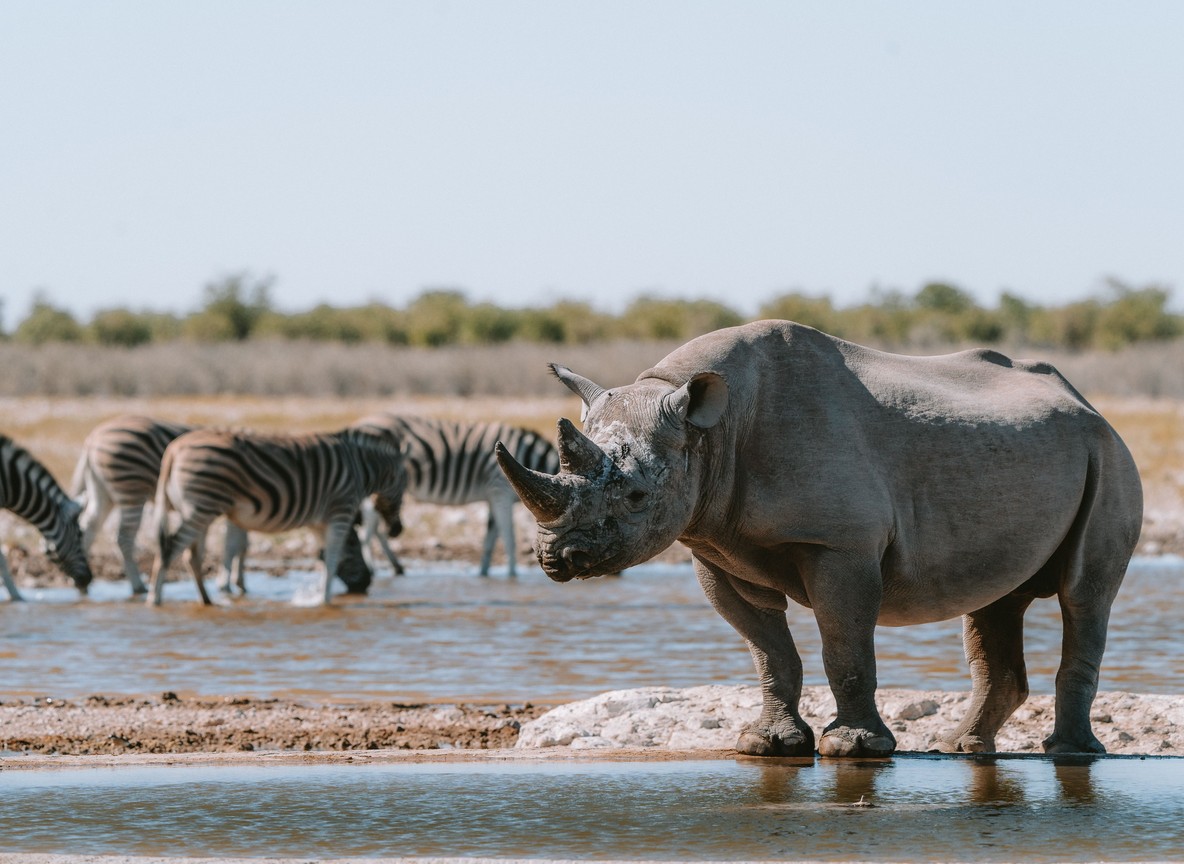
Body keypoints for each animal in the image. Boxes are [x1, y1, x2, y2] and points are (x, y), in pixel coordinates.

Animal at [149, 424, 407, 606]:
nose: (397, 530)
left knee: (192, 556)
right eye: (404, 487)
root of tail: (173, 450)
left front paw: (320, 596)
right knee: (169, 549)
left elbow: (325, 557)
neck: (360, 467)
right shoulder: (340, 509)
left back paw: (206, 600)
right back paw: (155, 600)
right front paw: (325, 600)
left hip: (199, 510)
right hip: (201, 507)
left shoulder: (319, 521)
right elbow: (334, 557)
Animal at [353, 414, 560, 577]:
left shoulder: (493, 496)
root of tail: (362, 423)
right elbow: (509, 538)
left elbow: (490, 540)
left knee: (377, 527)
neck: (529, 461)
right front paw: (513, 576)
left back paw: (396, 567)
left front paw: (483, 574)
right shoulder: (501, 490)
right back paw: (372, 569)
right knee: (369, 527)